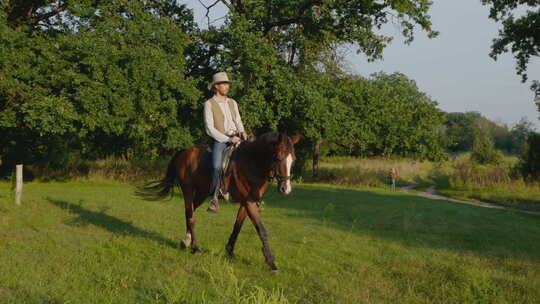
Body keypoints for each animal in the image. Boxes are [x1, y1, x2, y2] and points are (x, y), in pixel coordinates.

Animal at [136, 131, 300, 270]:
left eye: (293, 160)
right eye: (278, 158)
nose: (285, 189)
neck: (252, 163)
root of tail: (184, 152)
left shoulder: (246, 203)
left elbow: (237, 227)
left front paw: (230, 251)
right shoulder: (249, 203)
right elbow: (262, 230)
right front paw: (271, 262)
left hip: (201, 193)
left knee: (190, 212)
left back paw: (186, 241)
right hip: (188, 189)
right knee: (190, 215)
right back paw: (194, 246)